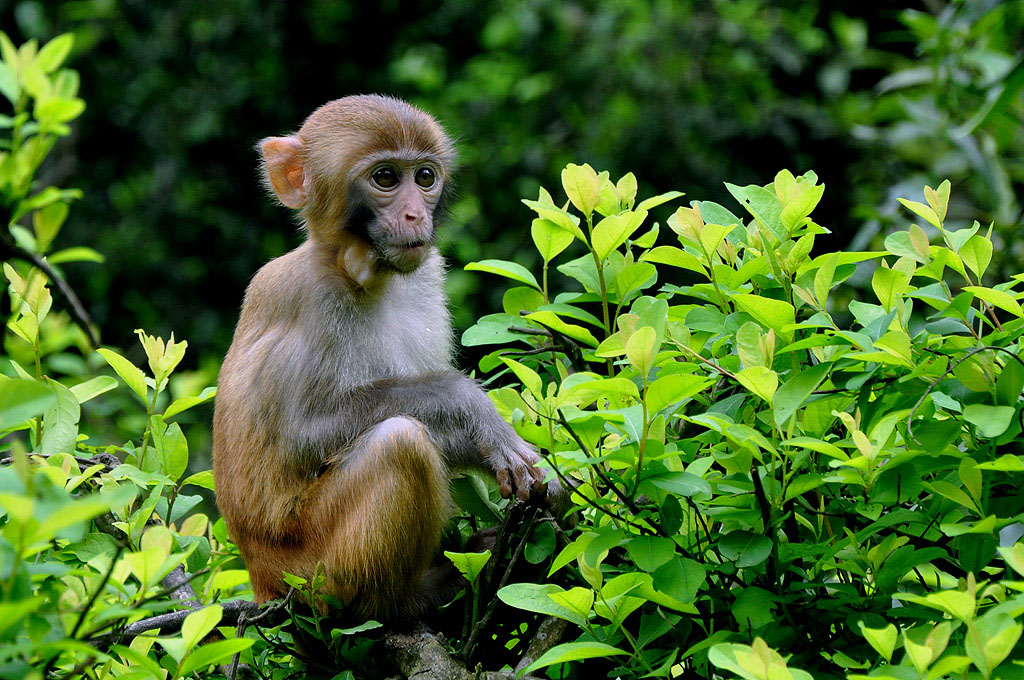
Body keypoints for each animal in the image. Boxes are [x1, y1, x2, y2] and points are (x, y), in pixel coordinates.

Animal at [210, 94, 557, 622]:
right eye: (387, 178)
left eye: (425, 177)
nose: (415, 216)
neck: (358, 272)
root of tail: (262, 581)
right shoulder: (309, 299)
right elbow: (299, 437)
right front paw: (468, 404)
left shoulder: (426, 275)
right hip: (310, 575)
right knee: (399, 443)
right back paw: (406, 598)